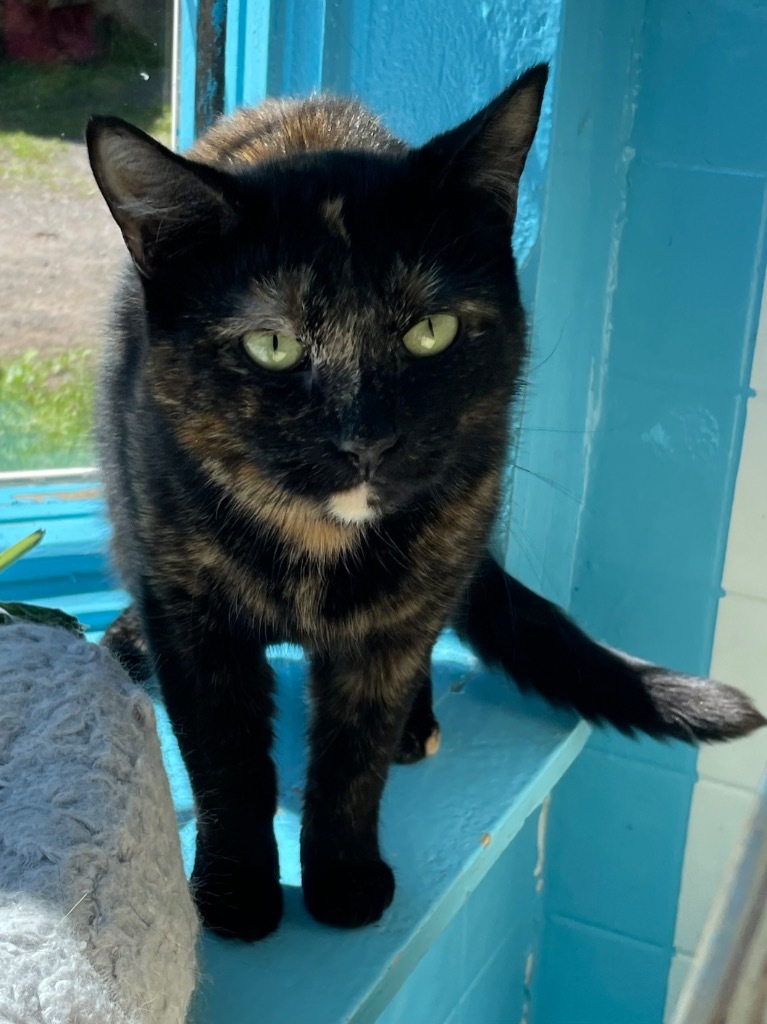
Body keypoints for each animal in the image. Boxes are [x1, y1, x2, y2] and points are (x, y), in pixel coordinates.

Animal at [86, 64, 761, 937]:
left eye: (428, 332)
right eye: (273, 345)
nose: (366, 438)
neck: (318, 546)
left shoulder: (398, 624)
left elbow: (354, 758)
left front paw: (343, 878)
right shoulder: (195, 621)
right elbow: (225, 761)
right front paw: (236, 894)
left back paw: (417, 719)